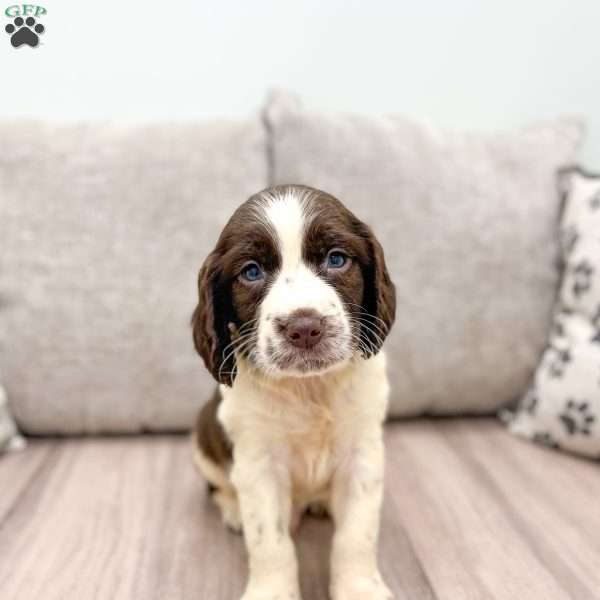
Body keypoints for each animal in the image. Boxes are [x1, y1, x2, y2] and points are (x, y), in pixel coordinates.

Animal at [192, 184, 396, 600]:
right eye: (251, 272)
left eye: (337, 259)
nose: (304, 327)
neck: (310, 388)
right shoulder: (258, 463)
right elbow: (270, 542)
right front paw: (272, 591)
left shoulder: (363, 453)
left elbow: (356, 535)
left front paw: (360, 589)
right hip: (204, 438)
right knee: (218, 485)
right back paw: (233, 509)